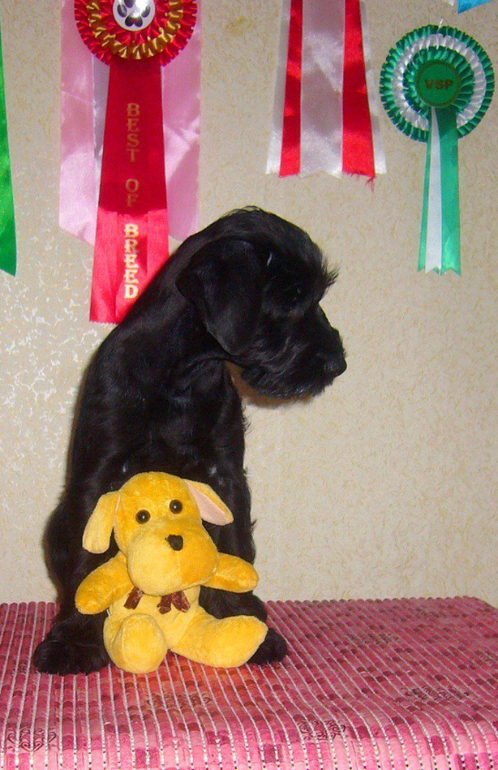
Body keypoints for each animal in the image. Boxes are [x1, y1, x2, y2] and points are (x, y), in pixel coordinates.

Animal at [33, 207, 346, 675]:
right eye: (291, 297)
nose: (338, 363)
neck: (180, 377)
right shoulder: (98, 474)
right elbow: (86, 561)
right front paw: (73, 639)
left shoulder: (226, 475)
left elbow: (235, 545)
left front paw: (243, 622)